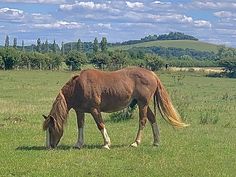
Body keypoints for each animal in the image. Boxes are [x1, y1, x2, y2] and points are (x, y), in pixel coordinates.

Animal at [42, 67, 189, 149]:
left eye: (51, 129)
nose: (49, 147)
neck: (78, 86)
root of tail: (152, 74)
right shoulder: (80, 111)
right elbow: (80, 126)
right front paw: (79, 144)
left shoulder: (95, 110)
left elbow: (100, 125)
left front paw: (107, 144)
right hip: (143, 104)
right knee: (152, 118)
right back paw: (156, 141)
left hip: (143, 104)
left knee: (143, 121)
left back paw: (136, 142)